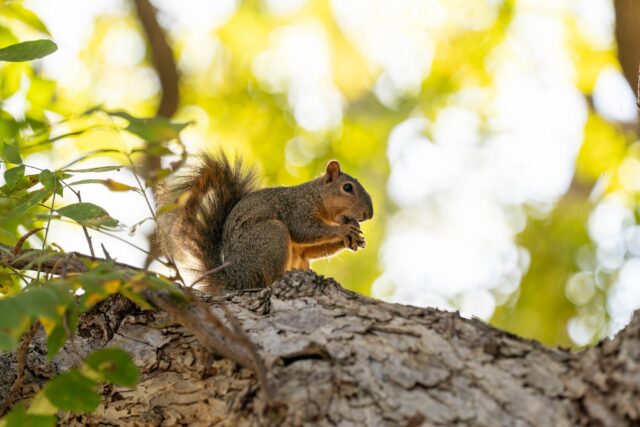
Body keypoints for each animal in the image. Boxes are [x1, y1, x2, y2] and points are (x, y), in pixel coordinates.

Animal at [156, 152, 373, 293]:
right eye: (347, 188)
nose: (368, 214)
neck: (316, 196)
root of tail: (235, 279)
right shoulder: (297, 209)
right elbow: (304, 230)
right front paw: (345, 230)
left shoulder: (303, 250)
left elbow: (310, 249)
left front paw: (354, 237)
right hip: (271, 236)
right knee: (268, 280)